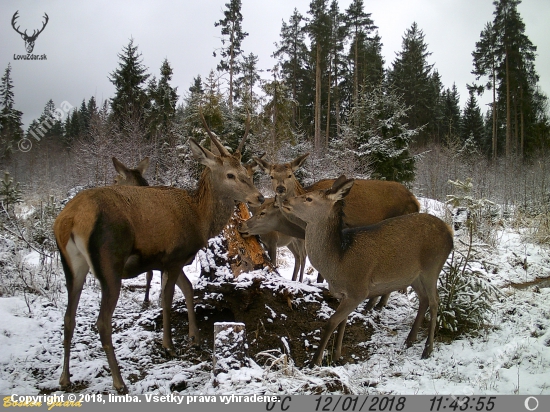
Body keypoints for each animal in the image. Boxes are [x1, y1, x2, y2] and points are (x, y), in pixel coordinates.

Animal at [54, 133, 266, 392]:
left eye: (248, 172)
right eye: (230, 174)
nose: (259, 197)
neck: (200, 220)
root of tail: (70, 219)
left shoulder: (168, 260)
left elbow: (188, 289)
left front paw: (194, 339)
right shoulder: (174, 256)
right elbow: (167, 298)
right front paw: (169, 345)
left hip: (72, 265)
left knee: (68, 317)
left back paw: (65, 378)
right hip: (109, 262)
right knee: (102, 321)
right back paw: (119, 382)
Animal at [282, 175, 454, 366]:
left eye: (309, 198)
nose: (284, 200)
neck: (337, 262)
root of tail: (450, 233)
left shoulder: (358, 290)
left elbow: (331, 322)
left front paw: (316, 361)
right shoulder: (344, 294)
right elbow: (343, 321)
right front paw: (337, 355)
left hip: (433, 267)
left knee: (434, 301)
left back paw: (427, 349)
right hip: (413, 276)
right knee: (423, 299)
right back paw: (409, 339)